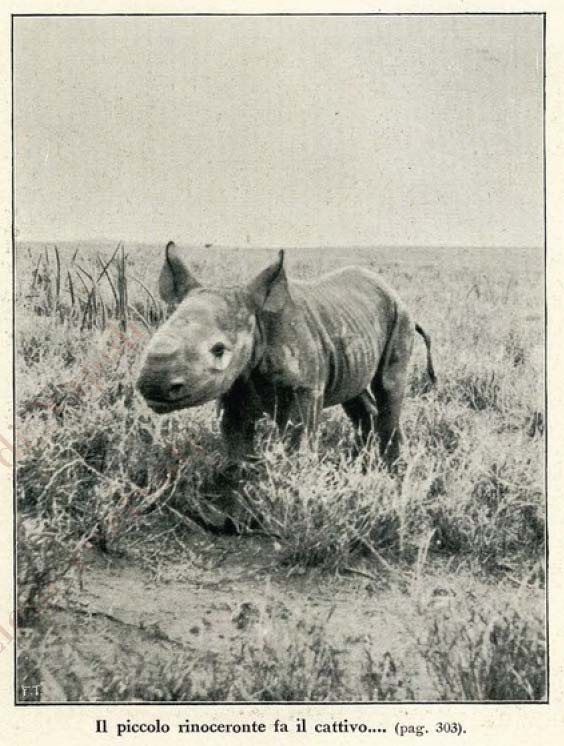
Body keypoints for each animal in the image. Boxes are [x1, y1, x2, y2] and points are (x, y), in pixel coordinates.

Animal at [136, 242, 435, 468]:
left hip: (400, 315)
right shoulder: (234, 388)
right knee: (355, 392)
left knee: (388, 386)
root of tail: (392, 291)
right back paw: (364, 463)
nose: (153, 385)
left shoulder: (303, 388)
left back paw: (390, 468)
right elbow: (237, 450)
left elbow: (298, 444)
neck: (257, 324)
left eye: (219, 350)